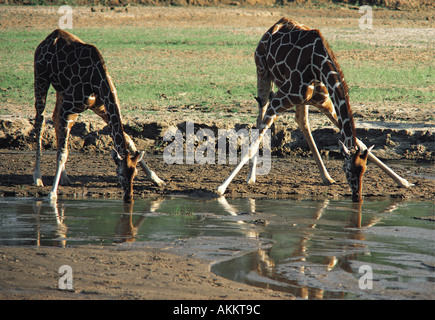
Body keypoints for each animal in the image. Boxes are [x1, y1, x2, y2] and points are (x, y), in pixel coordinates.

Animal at [32, 29, 165, 202]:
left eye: (135, 173)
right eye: (119, 173)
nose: (129, 197)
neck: (96, 79)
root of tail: (48, 38)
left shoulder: (102, 107)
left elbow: (129, 140)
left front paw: (156, 179)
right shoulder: (69, 109)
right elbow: (63, 152)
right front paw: (52, 194)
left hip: (61, 91)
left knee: (54, 118)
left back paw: (65, 177)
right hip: (41, 79)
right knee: (40, 121)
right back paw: (37, 177)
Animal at [218, 17, 412, 201]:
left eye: (364, 169)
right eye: (348, 169)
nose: (357, 196)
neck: (317, 65)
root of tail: (272, 27)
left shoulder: (325, 102)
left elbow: (360, 142)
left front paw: (404, 182)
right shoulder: (280, 99)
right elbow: (255, 140)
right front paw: (221, 188)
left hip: (301, 99)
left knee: (302, 121)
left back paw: (326, 177)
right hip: (263, 73)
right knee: (260, 119)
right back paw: (251, 177)